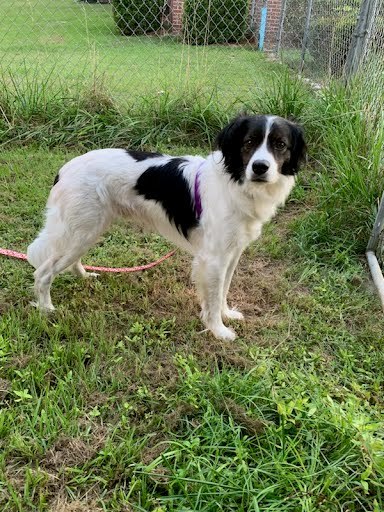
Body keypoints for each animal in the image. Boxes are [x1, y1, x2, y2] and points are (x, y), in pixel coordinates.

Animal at [27, 114, 306, 342]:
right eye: (249, 142)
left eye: (280, 145)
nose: (260, 167)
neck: (235, 182)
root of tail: (65, 169)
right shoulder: (214, 258)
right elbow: (214, 296)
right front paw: (218, 330)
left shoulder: (232, 252)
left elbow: (223, 290)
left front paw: (227, 314)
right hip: (81, 231)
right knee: (43, 272)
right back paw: (46, 310)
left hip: (86, 230)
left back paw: (84, 277)